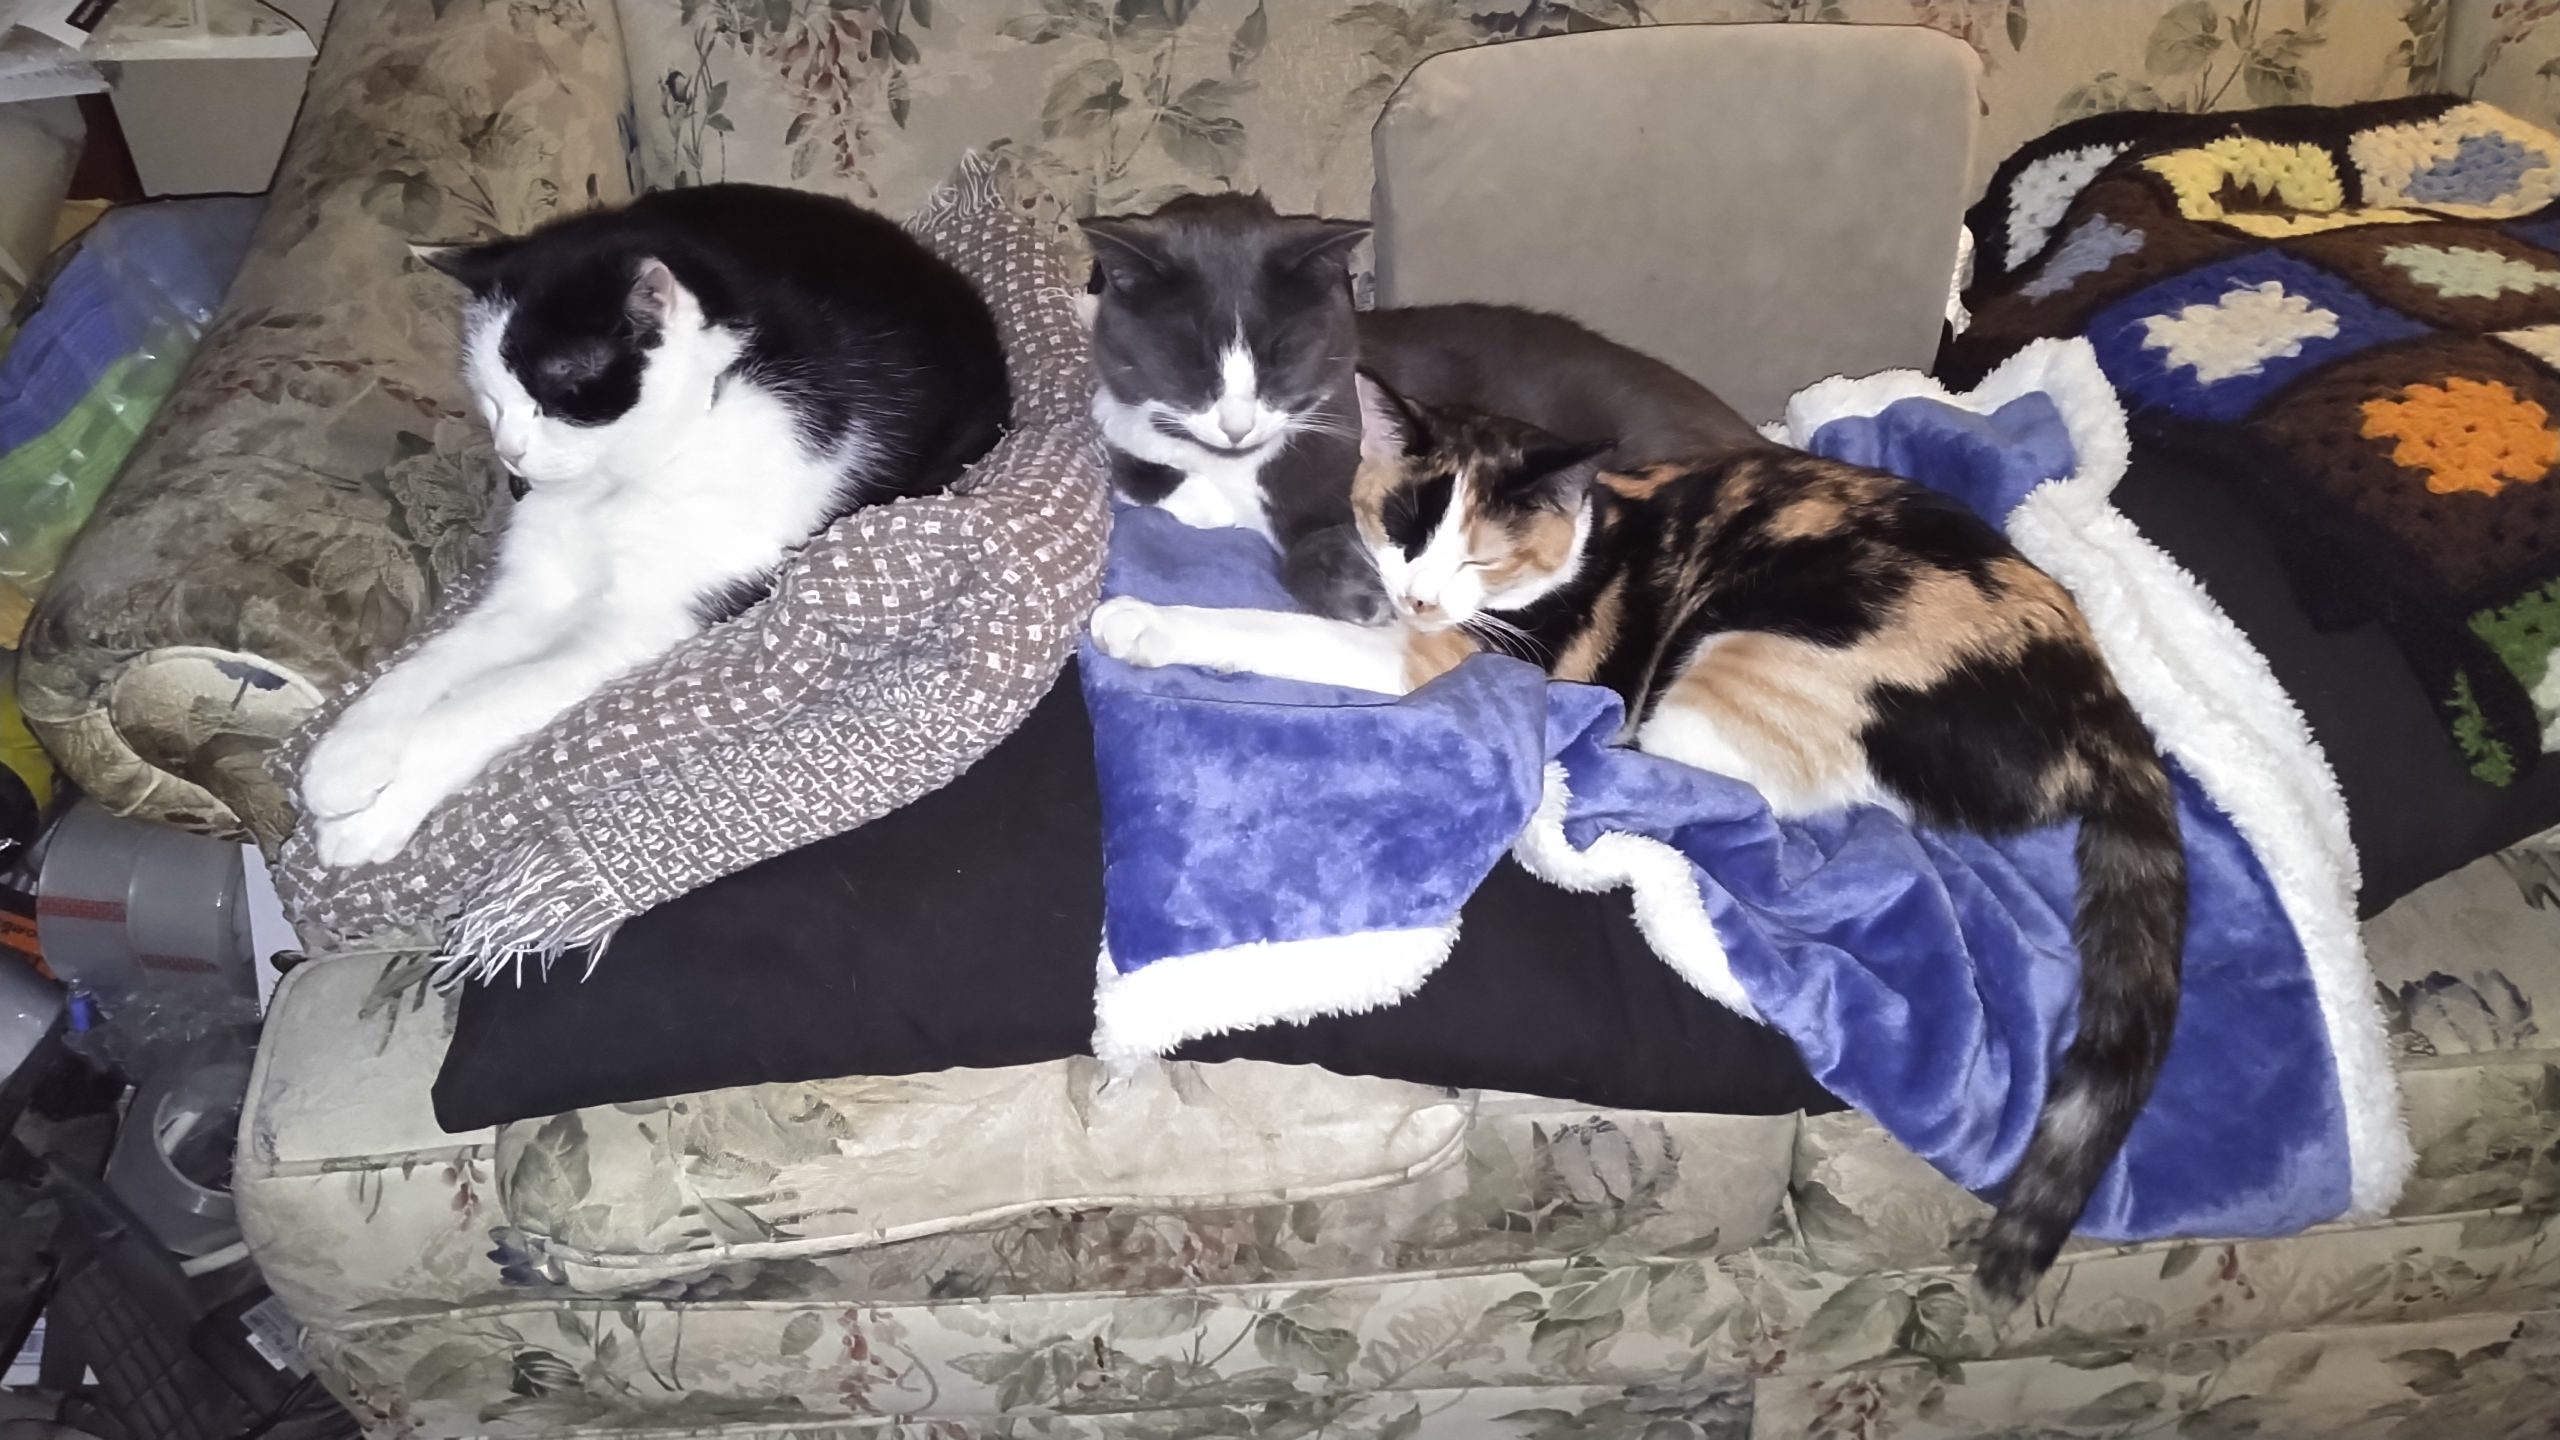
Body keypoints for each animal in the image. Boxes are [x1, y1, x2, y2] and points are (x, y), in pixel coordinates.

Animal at [299, 184, 1008, 871]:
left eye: (555, 396)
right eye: (491, 399)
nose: (510, 456)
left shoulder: (640, 621)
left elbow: (480, 704)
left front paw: (371, 819)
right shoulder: (534, 590)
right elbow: (434, 662)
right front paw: (346, 758)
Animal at [1090, 366, 2191, 1301]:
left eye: (1483, 553)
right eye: (1403, 529)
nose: (1419, 594)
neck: (1575, 544)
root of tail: (2102, 710)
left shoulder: (1441, 653)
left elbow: (1293, 634)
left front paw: (1141, 622)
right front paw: (1188, 494)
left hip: (1739, 667)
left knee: (1758, 804)